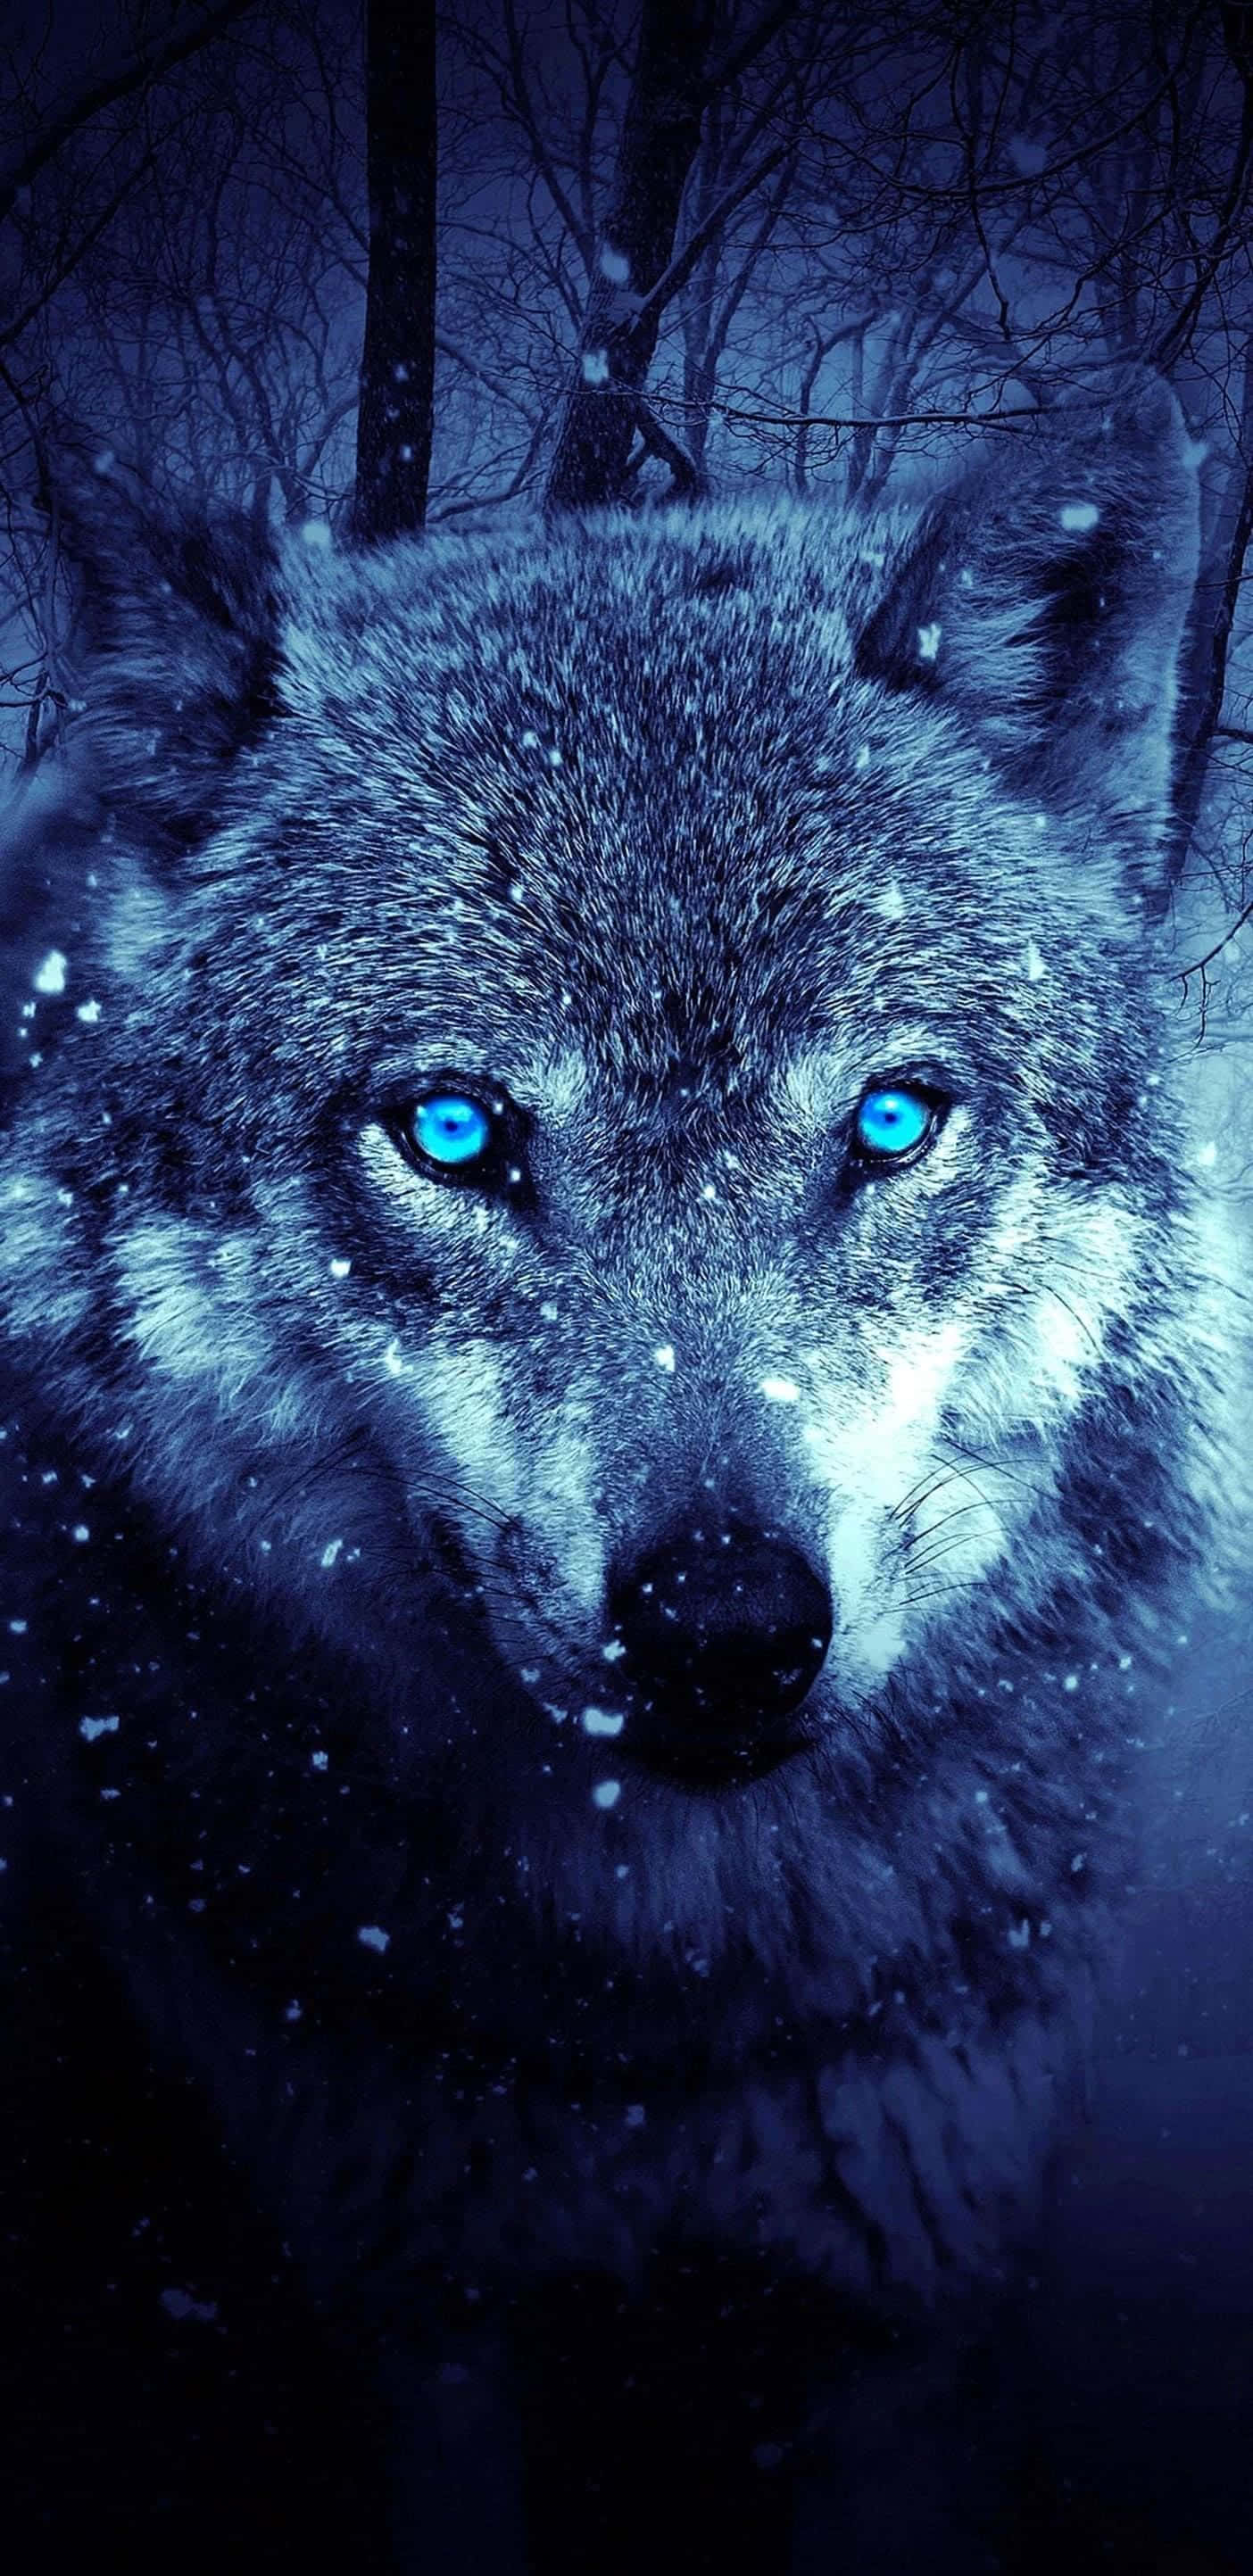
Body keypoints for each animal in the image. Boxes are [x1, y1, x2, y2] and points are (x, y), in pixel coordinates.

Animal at [0, 375, 1244, 2571]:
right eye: (453, 1130)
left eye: (892, 1119)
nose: (724, 1627)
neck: (661, 2021)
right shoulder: (415, 2308)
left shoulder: (899, 2306)